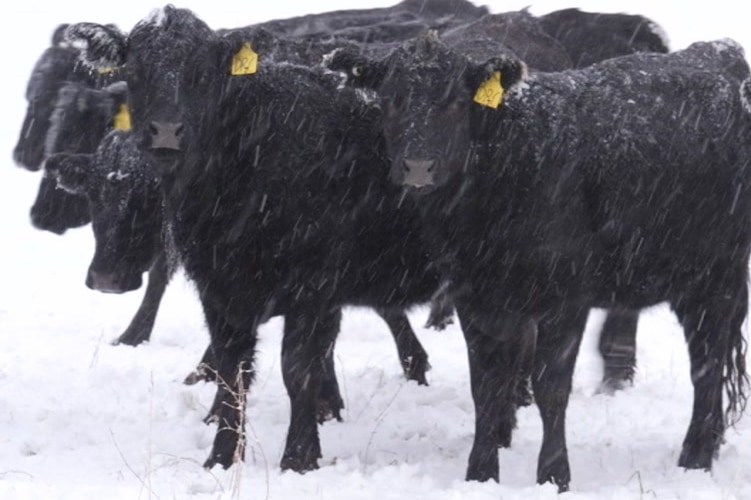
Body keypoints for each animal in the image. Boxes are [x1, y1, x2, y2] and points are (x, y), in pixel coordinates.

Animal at [63, 6, 446, 472]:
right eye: (135, 68)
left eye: (203, 72)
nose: (167, 131)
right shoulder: (218, 288)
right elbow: (233, 373)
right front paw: (222, 457)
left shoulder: (313, 287)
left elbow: (298, 369)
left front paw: (299, 457)